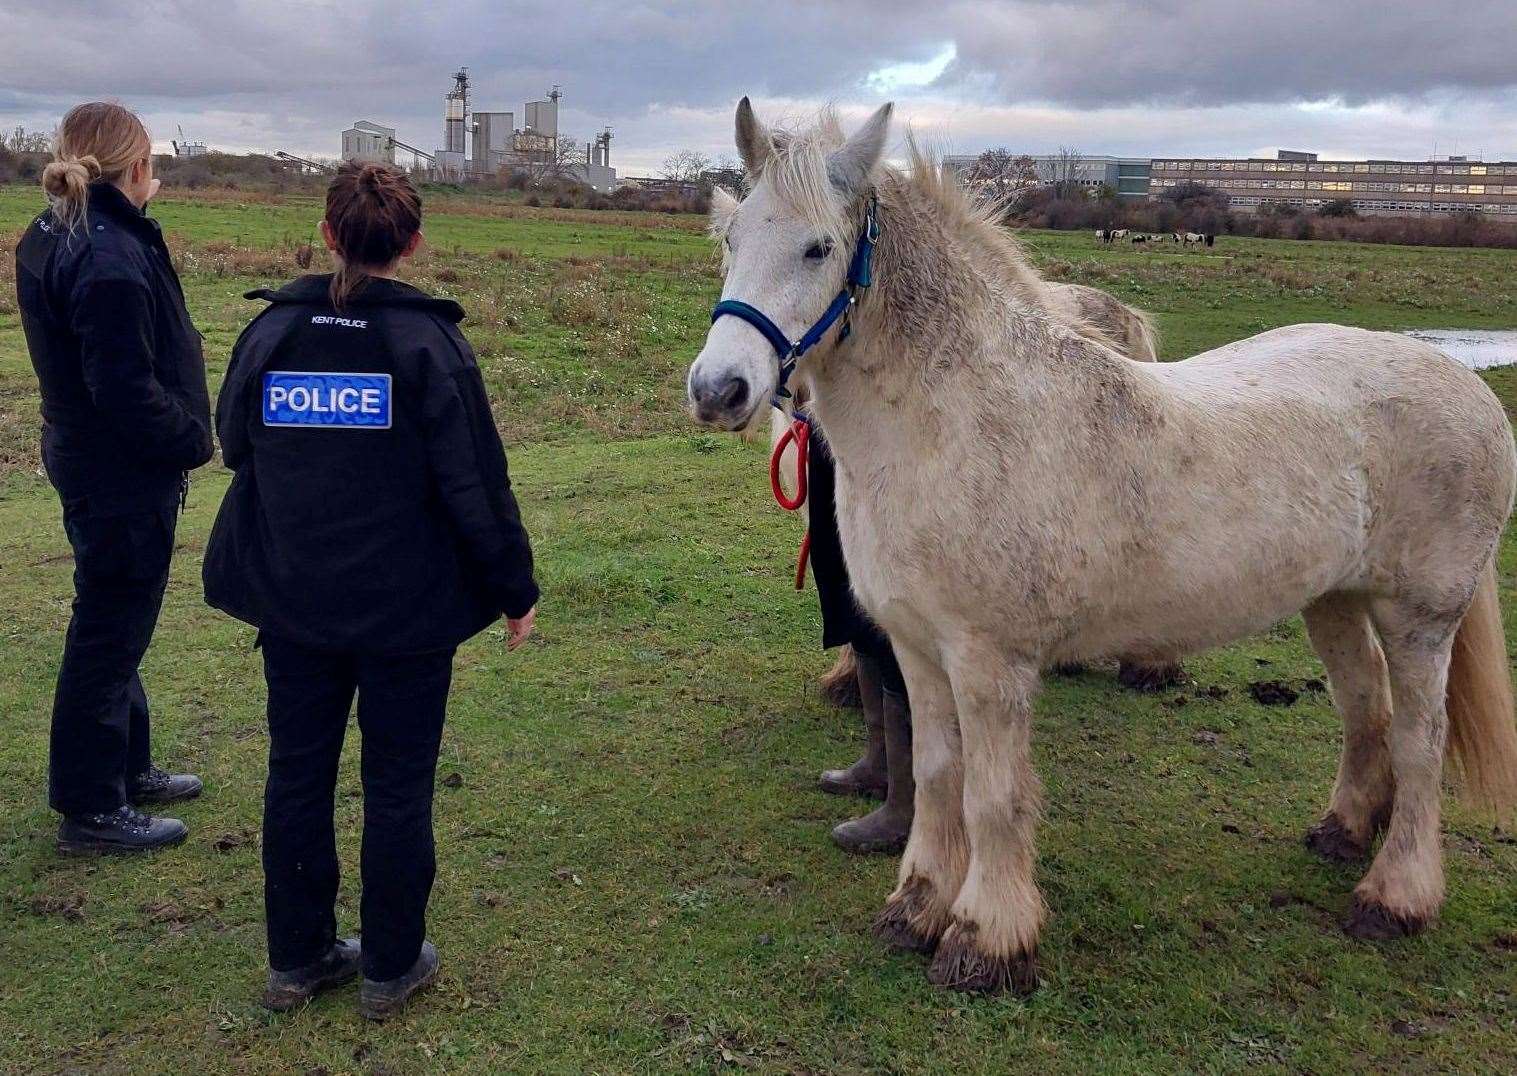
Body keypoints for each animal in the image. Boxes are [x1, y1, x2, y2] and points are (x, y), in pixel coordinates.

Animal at [694, 98, 1517, 989]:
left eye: (817, 247)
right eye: (731, 239)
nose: (718, 389)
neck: (955, 416)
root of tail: (1464, 383)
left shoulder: (989, 661)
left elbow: (992, 796)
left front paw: (984, 937)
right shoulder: (917, 651)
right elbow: (937, 776)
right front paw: (914, 908)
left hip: (1418, 618)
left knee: (1419, 741)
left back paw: (1393, 898)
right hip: (1331, 600)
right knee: (1364, 705)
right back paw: (1340, 831)